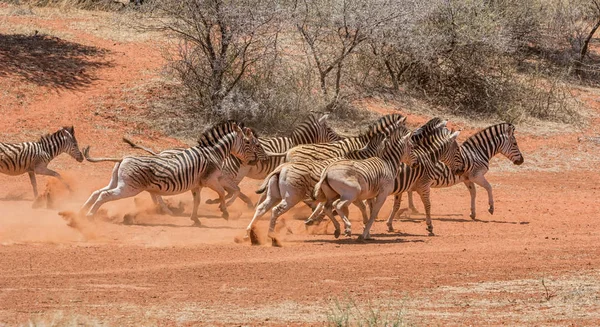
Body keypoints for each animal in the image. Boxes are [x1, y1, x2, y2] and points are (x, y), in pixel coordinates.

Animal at [79, 121, 264, 227]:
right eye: (249, 142)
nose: (255, 160)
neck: (213, 153)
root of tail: (123, 158)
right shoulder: (210, 179)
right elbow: (222, 193)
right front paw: (224, 212)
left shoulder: (199, 183)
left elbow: (199, 200)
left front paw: (196, 219)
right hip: (128, 188)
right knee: (104, 195)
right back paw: (89, 216)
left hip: (117, 182)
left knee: (97, 192)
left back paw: (81, 211)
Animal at [246, 130, 392, 241]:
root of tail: (280, 168)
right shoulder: (350, 194)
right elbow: (355, 209)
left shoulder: (349, 196)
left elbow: (356, 208)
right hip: (291, 198)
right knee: (275, 210)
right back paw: (271, 236)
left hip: (274, 196)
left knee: (262, 208)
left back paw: (249, 233)